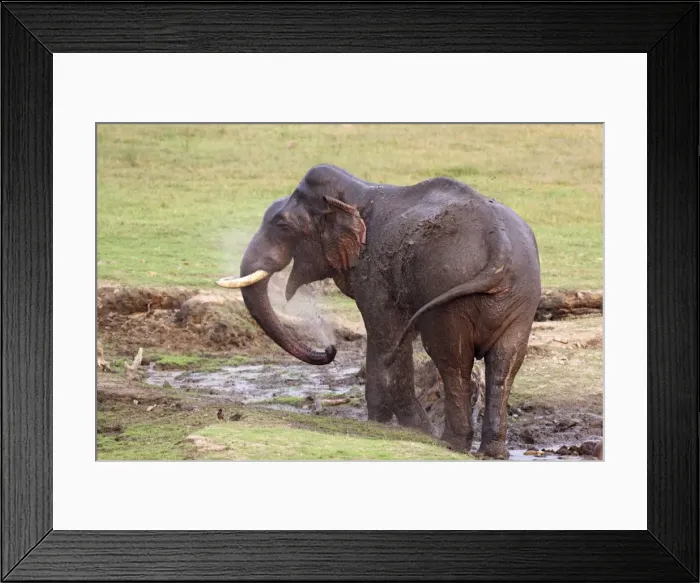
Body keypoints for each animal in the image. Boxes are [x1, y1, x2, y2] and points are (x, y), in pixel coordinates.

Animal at [217, 164, 541, 458]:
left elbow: (384, 335)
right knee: (505, 362)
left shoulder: (372, 273)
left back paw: (450, 444)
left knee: (451, 359)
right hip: (520, 297)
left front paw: (392, 427)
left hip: (450, 292)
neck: (355, 193)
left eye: (282, 226)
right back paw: (492, 452)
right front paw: (404, 427)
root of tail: (499, 246)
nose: (329, 349)